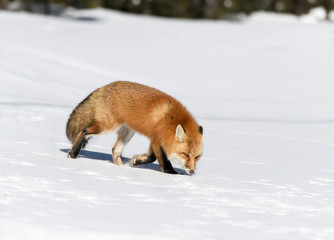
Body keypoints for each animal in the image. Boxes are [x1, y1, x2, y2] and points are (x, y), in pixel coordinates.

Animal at [64, 81, 201, 174]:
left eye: (197, 156)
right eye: (185, 154)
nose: (192, 171)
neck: (171, 120)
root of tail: (105, 86)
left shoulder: (155, 139)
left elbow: (151, 157)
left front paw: (135, 162)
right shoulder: (157, 140)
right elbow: (161, 160)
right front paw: (172, 174)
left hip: (128, 133)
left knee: (115, 150)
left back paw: (121, 168)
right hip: (106, 126)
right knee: (84, 131)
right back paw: (73, 154)